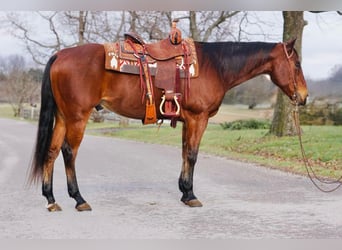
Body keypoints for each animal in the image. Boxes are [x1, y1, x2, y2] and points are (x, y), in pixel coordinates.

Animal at [29, 39, 308, 211]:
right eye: (296, 64)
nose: (304, 97)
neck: (215, 66)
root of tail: (60, 54)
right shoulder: (198, 118)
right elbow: (193, 155)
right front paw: (191, 196)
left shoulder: (188, 121)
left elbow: (185, 153)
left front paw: (184, 192)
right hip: (77, 117)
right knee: (68, 152)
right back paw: (79, 199)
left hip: (63, 117)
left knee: (51, 152)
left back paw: (51, 199)